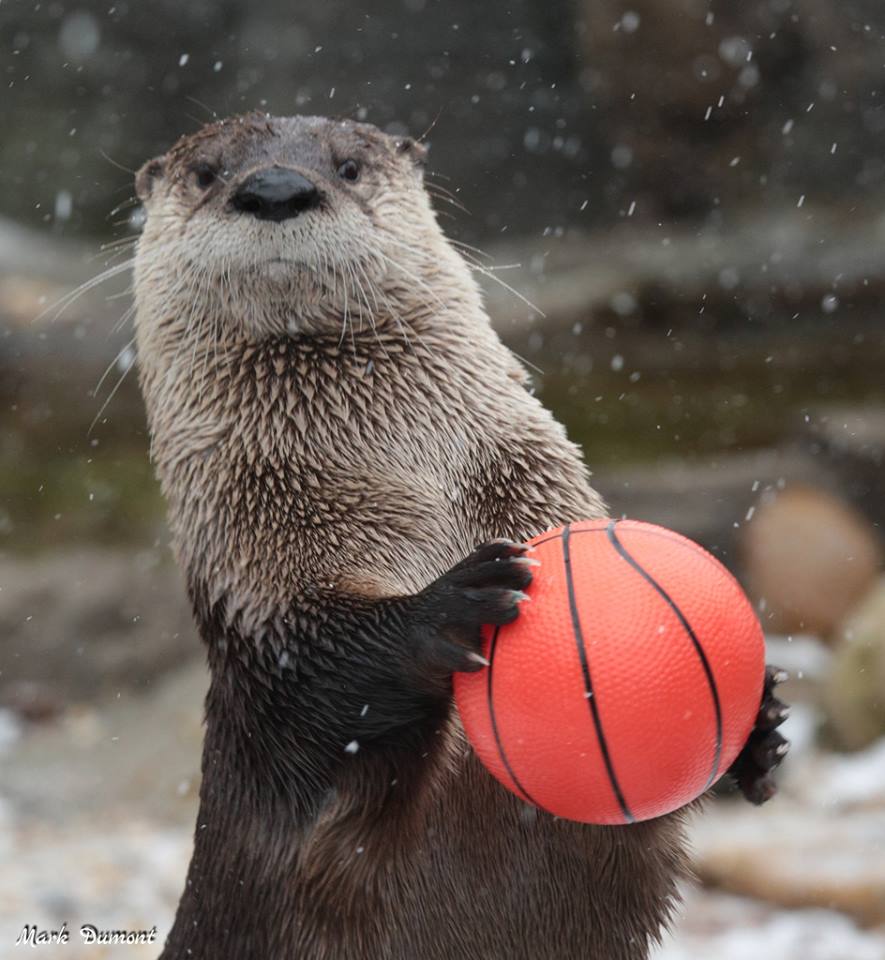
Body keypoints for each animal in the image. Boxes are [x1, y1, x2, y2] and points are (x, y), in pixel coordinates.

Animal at [132, 113, 786, 960]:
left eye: (348, 165)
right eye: (207, 172)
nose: (274, 188)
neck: (416, 497)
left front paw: (758, 726)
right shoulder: (258, 598)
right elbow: (313, 677)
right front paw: (449, 605)